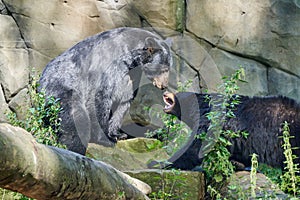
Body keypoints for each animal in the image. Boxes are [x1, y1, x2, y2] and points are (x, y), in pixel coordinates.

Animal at [38, 27, 172, 154]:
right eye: (164, 69)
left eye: (169, 68)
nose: (164, 85)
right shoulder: (106, 67)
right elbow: (100, 99)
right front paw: (105, 139)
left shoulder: (132, 76)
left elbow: (123, 103)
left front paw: (117, 134)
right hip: (61, 88)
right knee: (77, 117)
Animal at [148, 91, 300, 170]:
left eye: (180, 93)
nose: (165, 92)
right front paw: (237, 163)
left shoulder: (212, 122)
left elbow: (195, 149)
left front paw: (158, 162)